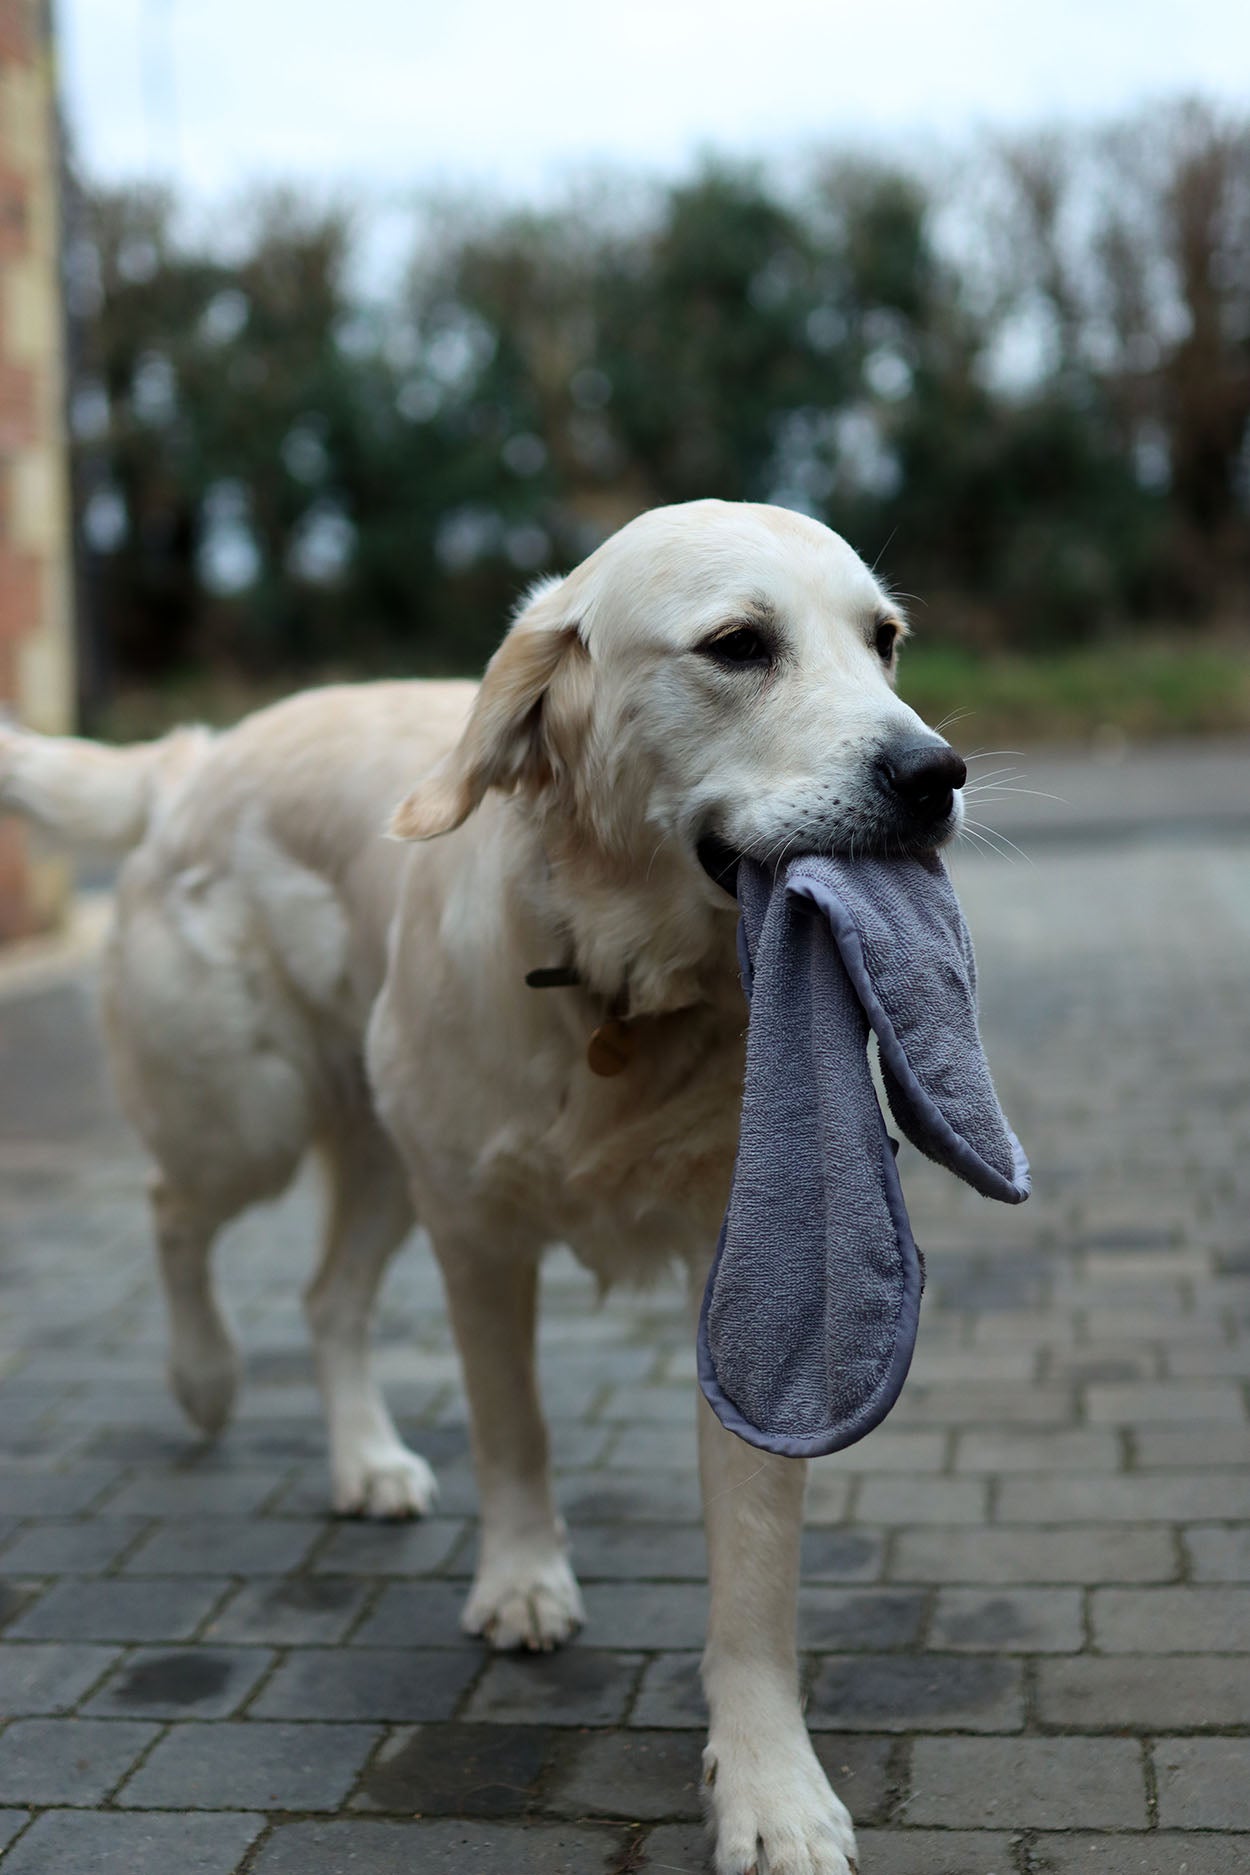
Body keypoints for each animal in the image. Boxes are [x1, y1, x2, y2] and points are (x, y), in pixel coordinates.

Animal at [0, 502, 967, 1875]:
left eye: (882, 641)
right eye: (737, 645)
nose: (933, 775)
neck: (616, 983)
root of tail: (194, 758)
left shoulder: (750, 1261)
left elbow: (752, 1565)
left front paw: (770, 1787)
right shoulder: (477, 1234)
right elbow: (515, 1429)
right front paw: (520, 1583)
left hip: (381, 1151)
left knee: (325, 1296)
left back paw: (363, 1459)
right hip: (251, 1116)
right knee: (172, 1210)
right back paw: (205, 1377)